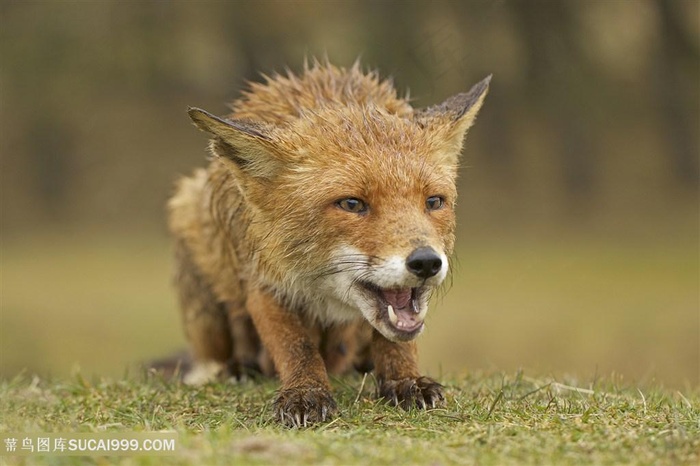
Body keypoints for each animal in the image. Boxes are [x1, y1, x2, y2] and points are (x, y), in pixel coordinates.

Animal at [167, 61, 490, 426]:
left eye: (434, 201)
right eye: (351, 204)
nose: (426, 262)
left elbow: (395, 342)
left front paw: (403, 380)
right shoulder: (263, 277)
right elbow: (295, 345)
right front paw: (305, 390)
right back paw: (240, 368)